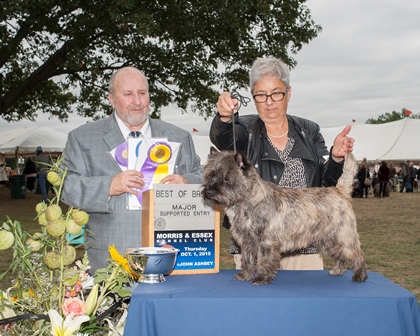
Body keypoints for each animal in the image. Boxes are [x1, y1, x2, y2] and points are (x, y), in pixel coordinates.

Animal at [201, 148, 368, 284]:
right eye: (209, 176)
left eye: (227, 178)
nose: (209, 191)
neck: (247, 201)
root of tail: (338, 191)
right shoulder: (247, 241)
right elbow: (247, 260)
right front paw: (245, 275)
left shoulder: (266, 242)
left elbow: (264, 261)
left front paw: (261, 278)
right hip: (327, 240)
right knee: (341, 255)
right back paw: (338, 270)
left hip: (343, 236)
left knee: (357, 254)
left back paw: (360, 276)